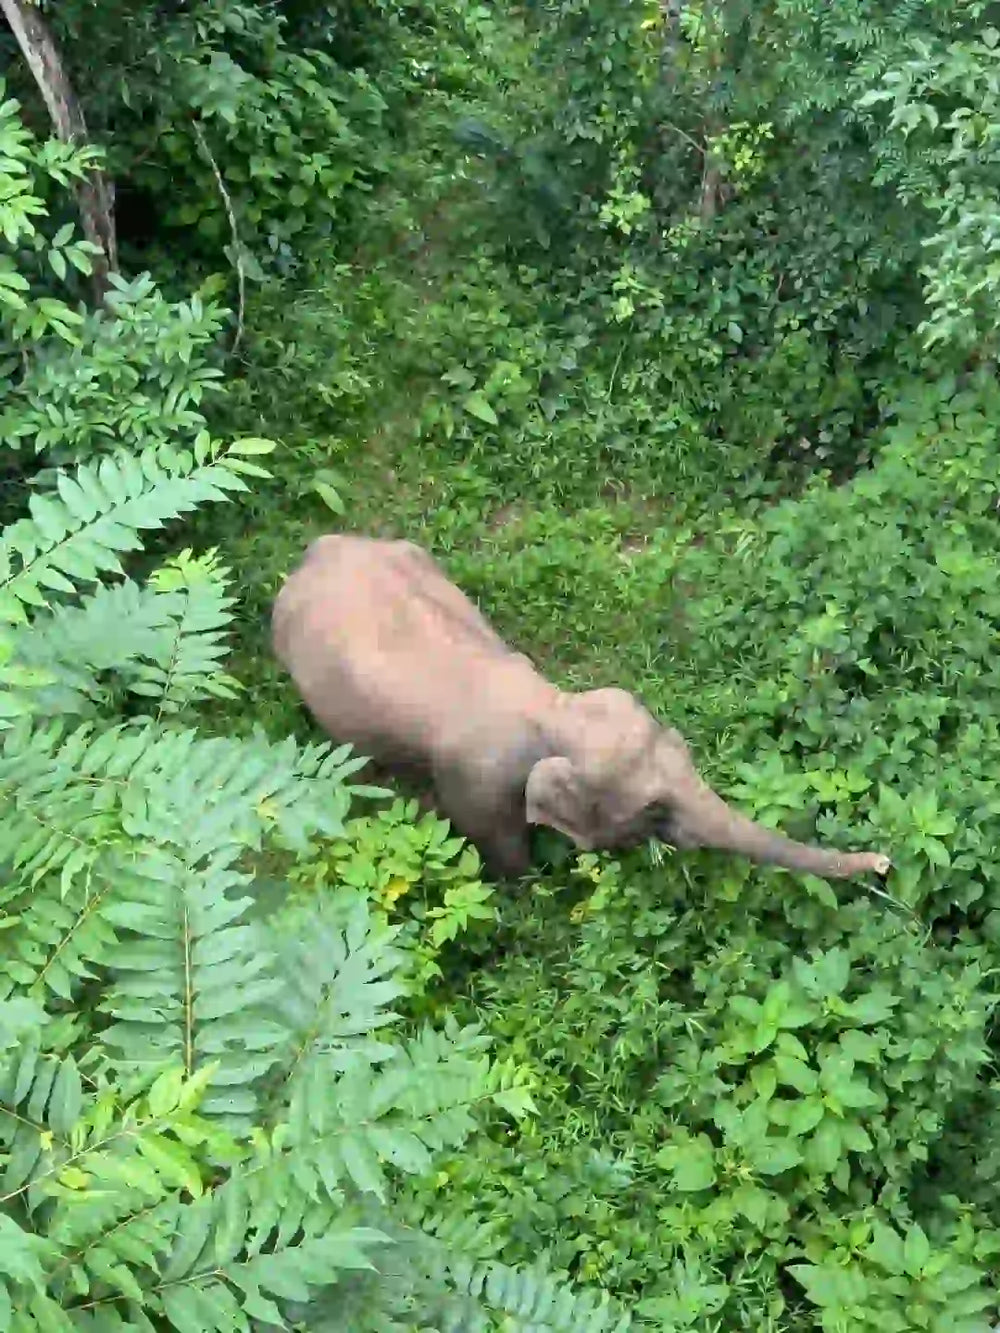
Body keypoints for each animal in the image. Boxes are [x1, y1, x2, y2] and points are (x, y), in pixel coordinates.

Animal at [272, 534, 892, 883]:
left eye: (686, 750)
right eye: (654, 809)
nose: (885, 864)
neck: (556, 710)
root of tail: (315, 551)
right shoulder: (476, 787)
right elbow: (502, 853)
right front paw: (536, 889)